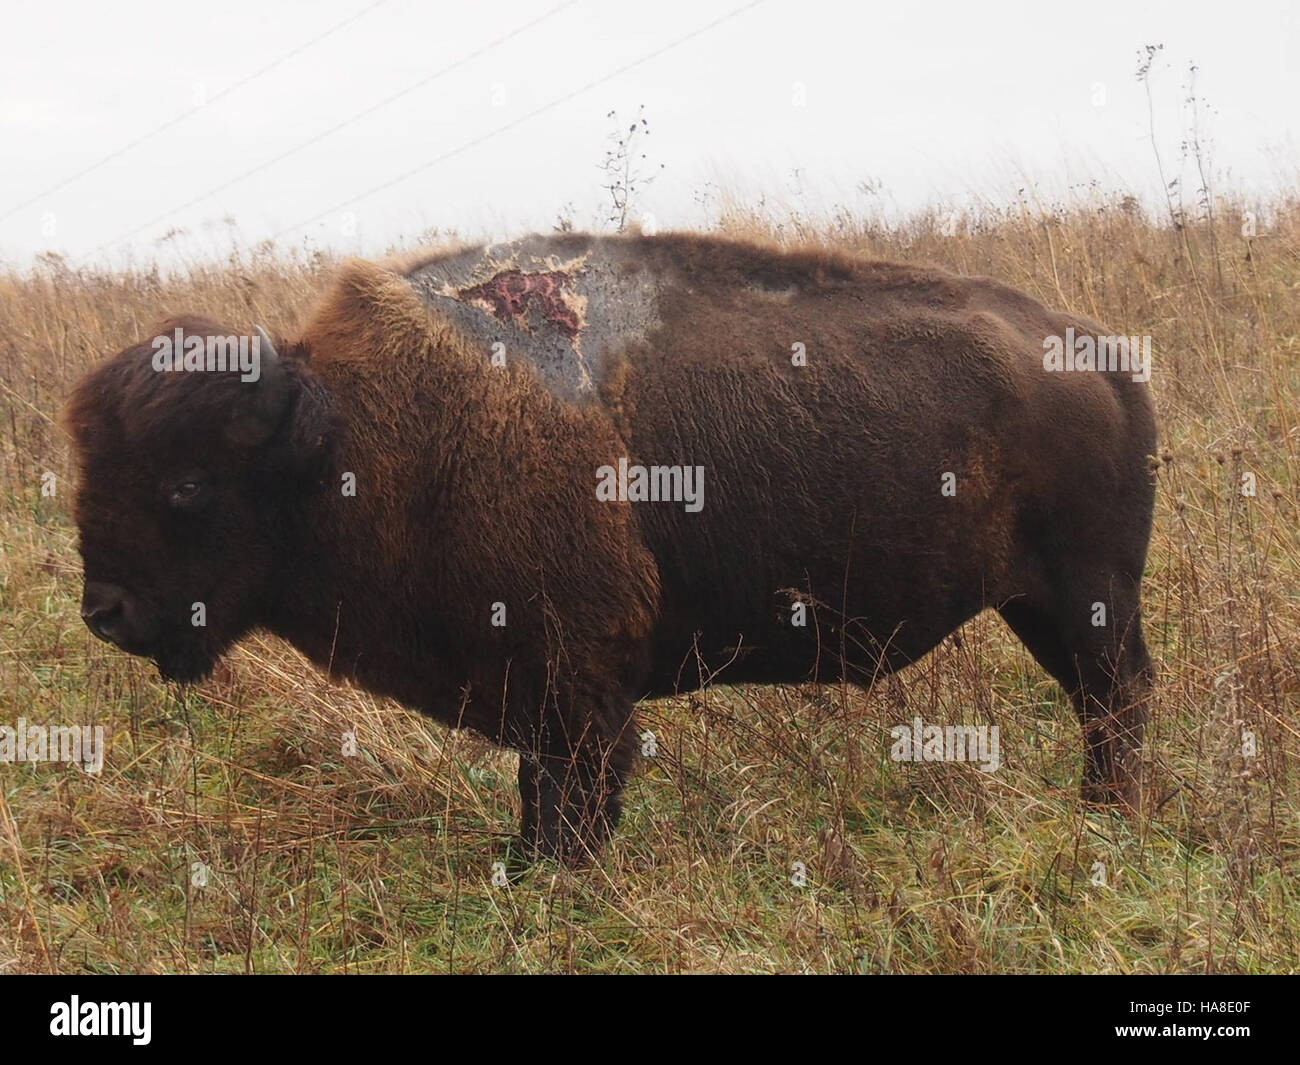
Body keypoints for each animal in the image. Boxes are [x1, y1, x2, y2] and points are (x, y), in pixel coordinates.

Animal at [66, 233, 1157, 862]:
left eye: (187, 483)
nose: (105, 611)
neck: (350, 437)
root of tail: (1099, 354)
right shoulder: (535, 686)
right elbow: (537, 792)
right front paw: (522, 867)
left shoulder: (578, 685)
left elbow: (578, 792)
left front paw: (557, 878)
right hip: (1045, 605)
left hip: (1085, 598)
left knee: (1117, 698)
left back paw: (1107, 817)